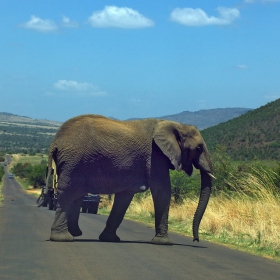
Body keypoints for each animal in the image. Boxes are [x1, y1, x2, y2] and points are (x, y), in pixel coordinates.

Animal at [46, 115, 213, 244]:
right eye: (198, 148)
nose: (196, 240)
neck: (176, 125)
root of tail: (55, 143)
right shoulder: (155, 157)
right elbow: (162, 191)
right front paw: (164, 243)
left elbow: (125, 197)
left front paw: (110, 239)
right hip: (74, 162)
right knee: (69, 193)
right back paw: (63, 238)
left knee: (76, 194)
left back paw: (75, 234)